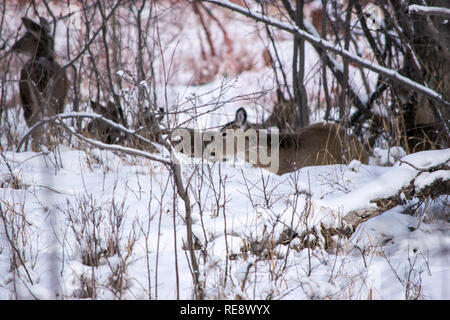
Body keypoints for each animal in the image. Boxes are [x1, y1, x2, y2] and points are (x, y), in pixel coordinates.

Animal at [11, 16, 68, 149]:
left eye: (26, 36)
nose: (14, 47)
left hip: (30, 100)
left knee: (36, 124)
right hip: (54, 99)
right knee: (50, 123)